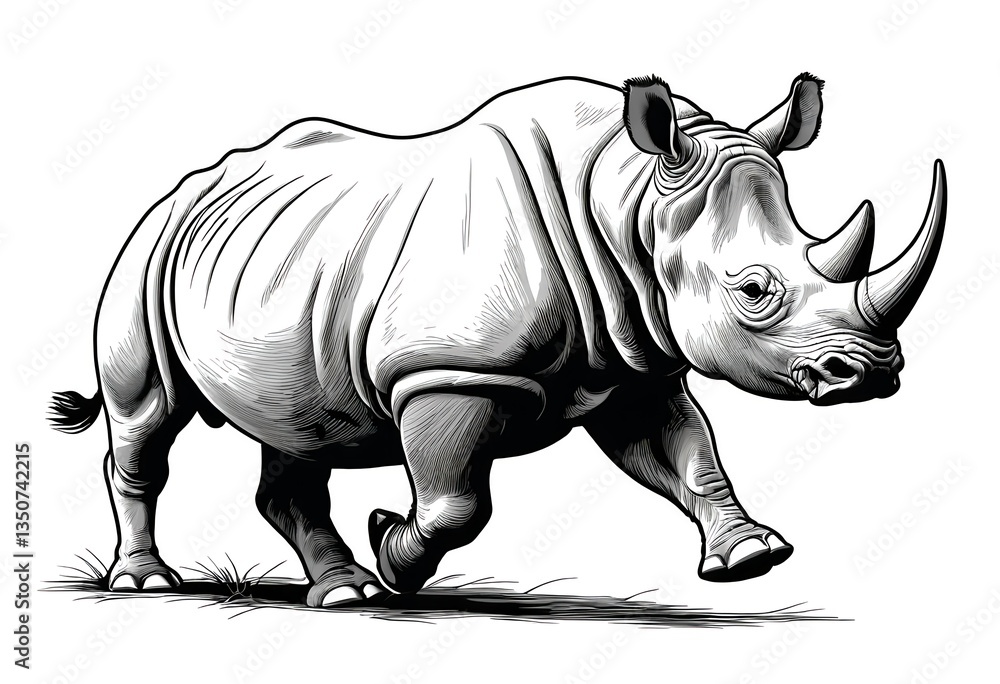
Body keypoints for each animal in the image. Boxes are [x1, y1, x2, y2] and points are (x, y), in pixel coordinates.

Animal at [51, 73, 947, 606]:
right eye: (754, 291)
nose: (871, 374)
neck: (626, 200)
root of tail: (179, 193)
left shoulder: (633, 361)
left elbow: (688, 455)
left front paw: (751, 558)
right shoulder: (447, 370)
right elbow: (457, 502)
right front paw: (395, 552)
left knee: (297, 433)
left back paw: (342, 593)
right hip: (142, 255)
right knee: (146, 417)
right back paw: (150, 582)